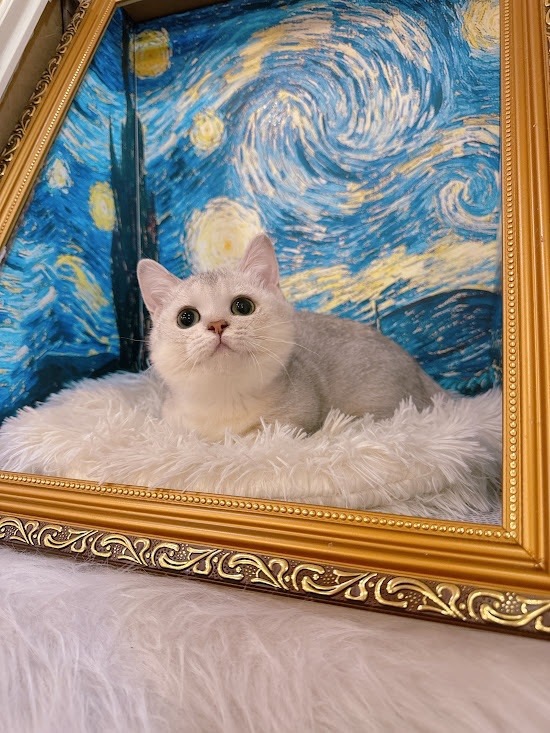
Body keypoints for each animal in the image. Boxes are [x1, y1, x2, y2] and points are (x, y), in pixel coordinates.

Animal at [137, 234, 443, 441]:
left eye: (242, 306)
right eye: (186, 318)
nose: (217, 325)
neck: (225, 399)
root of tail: (417, 368)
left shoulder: (295, 417)